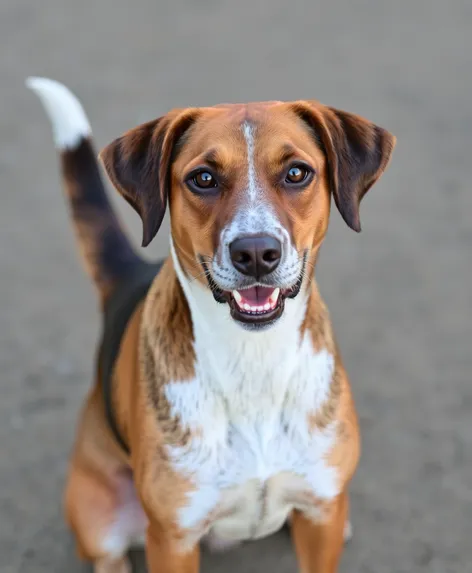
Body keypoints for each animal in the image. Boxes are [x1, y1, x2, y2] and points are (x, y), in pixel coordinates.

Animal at [25, 77, 394, 572]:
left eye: (297, 173)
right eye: (203, 178)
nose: (255, 253)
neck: (253, 359)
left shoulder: (321, 517)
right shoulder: (173, 539)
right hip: (100, 522)